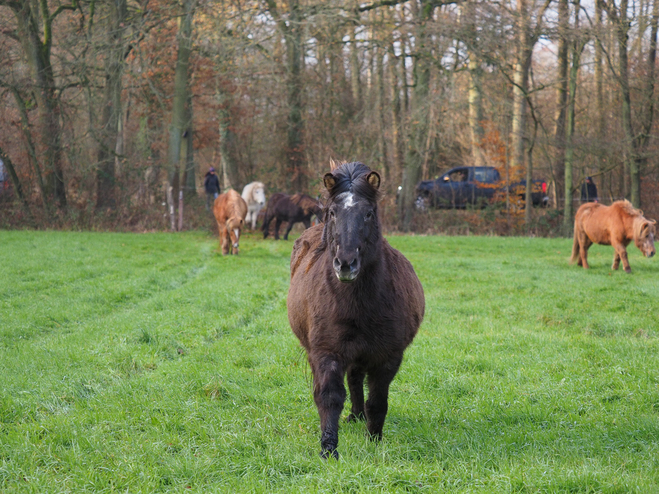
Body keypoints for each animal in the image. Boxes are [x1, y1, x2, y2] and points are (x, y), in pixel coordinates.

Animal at [288, 162, 422, 460]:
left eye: (369, 213)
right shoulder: (326, 352)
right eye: (333, 213)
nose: (346, 264)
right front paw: (329, 450)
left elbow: (378, 401)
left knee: (356, 378)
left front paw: (374, 440)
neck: (357, 304)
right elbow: (329, 397)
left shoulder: (388, 357)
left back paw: (358, 416)